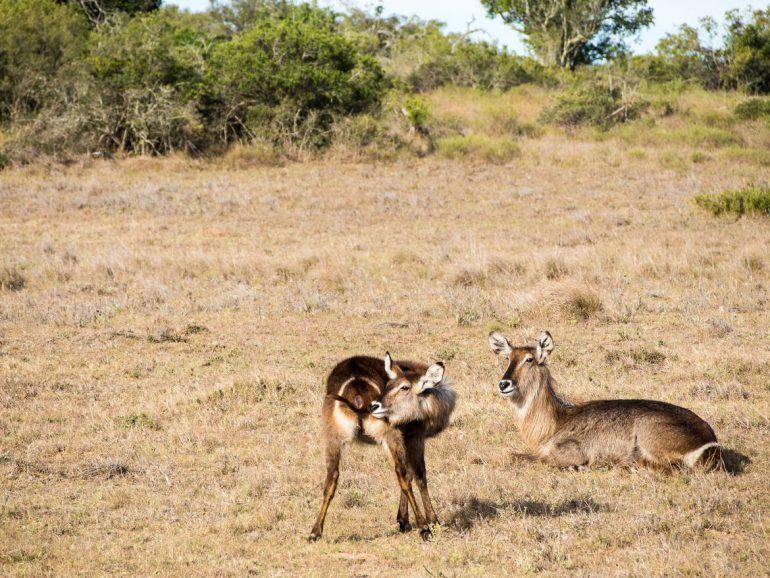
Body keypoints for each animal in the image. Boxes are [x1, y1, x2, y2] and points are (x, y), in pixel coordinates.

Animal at [308, 352, 456, 540]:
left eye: (403, 387)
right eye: (390, 385)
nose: (375, 405)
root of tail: (357, 387)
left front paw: (404, 520)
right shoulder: (415, 438)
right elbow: (418, 476)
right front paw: (432, 521)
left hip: (333, 436)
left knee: (331, 478)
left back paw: (315, 532)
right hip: (391, 434)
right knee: (401, 474)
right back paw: (424, 528)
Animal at [486, 330, 720, 470]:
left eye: (529, 359)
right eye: (508, 358)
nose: (504, 384)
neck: (554, 423)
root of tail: (710, 441)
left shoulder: (570, 452)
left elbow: (516, 456)